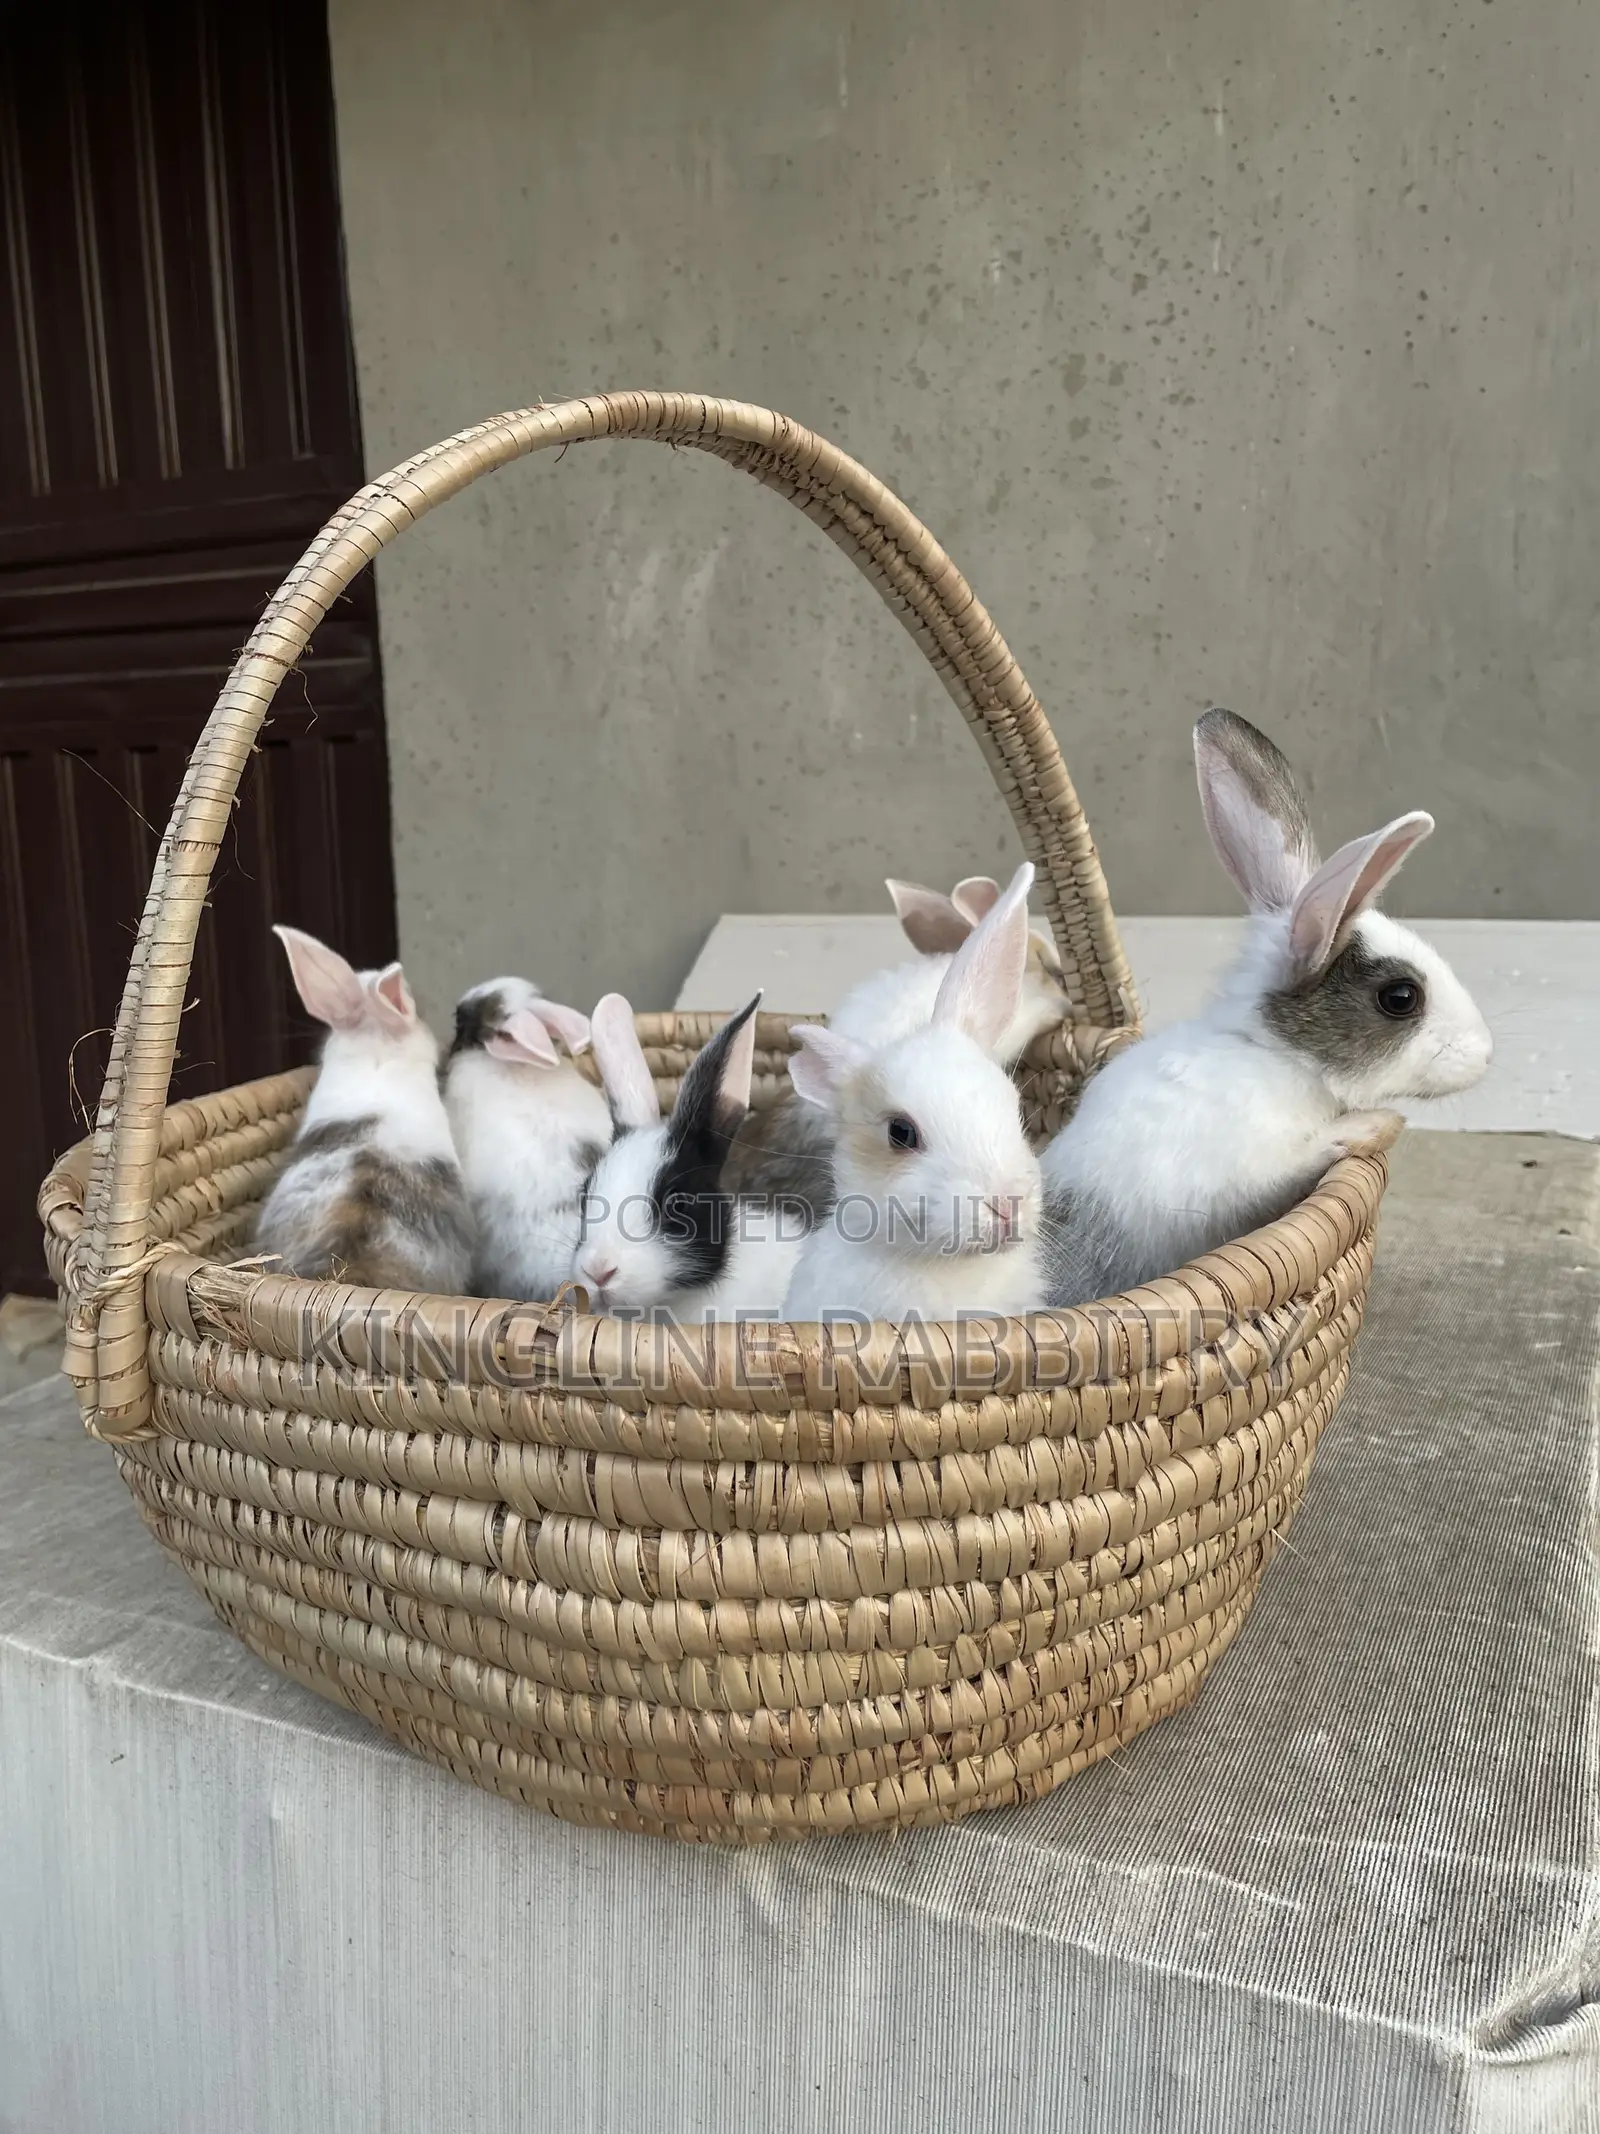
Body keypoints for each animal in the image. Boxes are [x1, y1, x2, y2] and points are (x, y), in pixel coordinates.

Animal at [1039, 708, 1494, 1305]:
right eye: (1400, 998)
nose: (1487, 1054)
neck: (1269, 1053)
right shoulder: (1242, 1174)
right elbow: (1296, 1161)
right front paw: (1378, 1125)